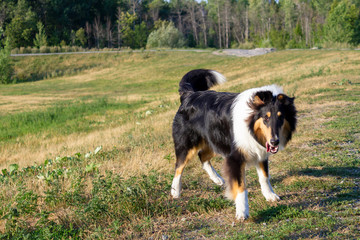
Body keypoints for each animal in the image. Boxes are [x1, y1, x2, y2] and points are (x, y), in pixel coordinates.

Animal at [170, 68, 296, 220]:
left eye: (281, 117)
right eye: (266, 118)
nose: (274, 142)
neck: (250, 124)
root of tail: (189, 95)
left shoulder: (260, 152)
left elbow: (264, 177)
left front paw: (270, 195)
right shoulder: (235, 157)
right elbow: (241, 186)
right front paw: (242, 212)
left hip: (215, 140)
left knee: (202, 157)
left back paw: (218, 179)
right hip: (188, 144)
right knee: (179, 166)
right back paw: (175, 191)